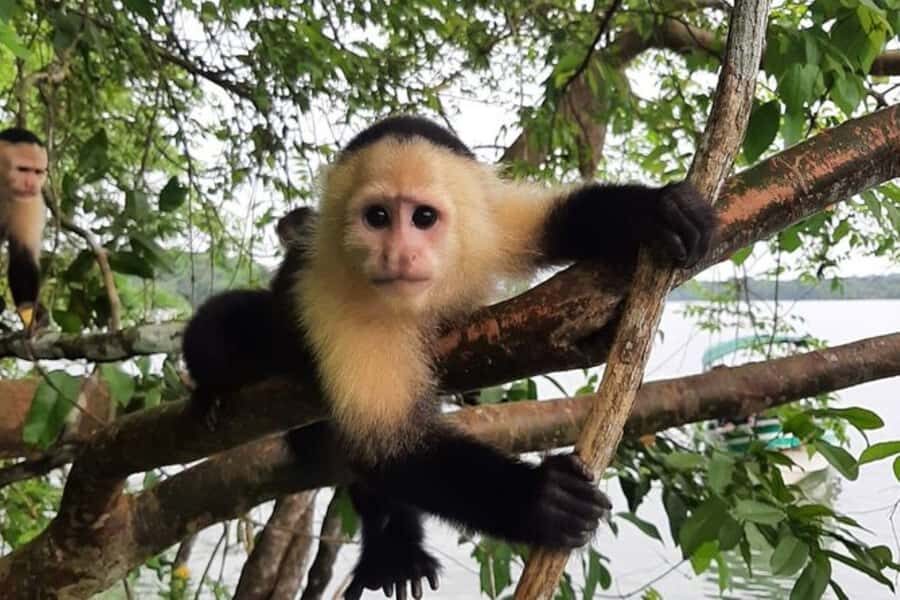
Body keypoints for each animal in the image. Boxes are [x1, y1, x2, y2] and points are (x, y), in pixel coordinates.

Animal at [181, 116, 716, 599]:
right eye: (377, 217)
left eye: (423, 218)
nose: (399, 255)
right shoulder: (332, 296)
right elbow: (389, 443)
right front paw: (538, 500)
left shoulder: (488, 228)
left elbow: (557, 218)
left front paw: (650, 212)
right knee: (218, 334)